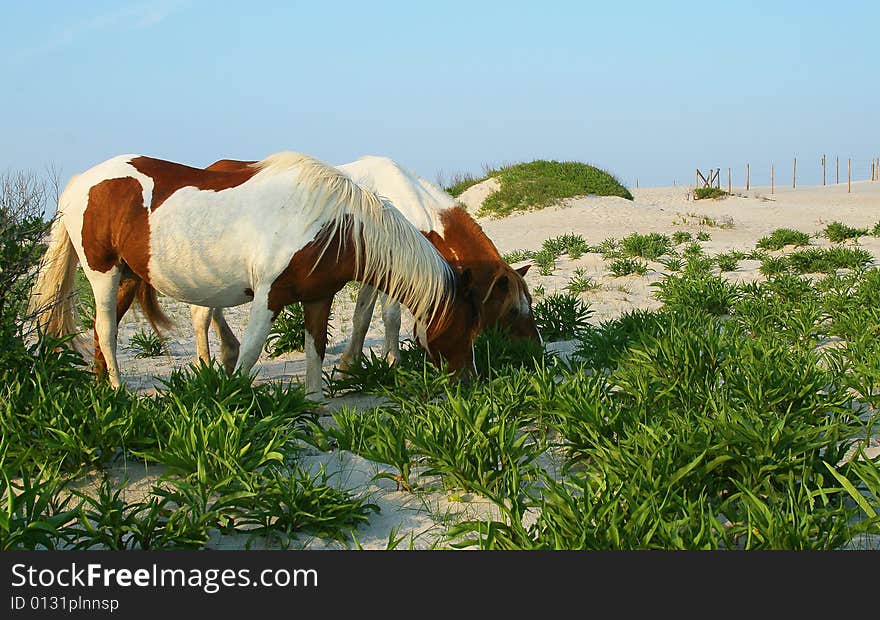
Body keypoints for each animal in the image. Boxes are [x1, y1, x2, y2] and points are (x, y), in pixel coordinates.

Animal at [29, 151, 482, 394]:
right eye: (466, 326)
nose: (470, 380)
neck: (333, 224)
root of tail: (80, 181)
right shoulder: (268, 296)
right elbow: (249, 353)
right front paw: (232, 401)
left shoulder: (318, 298)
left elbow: (315, 350)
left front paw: (314, 404)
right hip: (102, 273)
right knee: (106, 329)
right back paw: (120, 390)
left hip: (126, 276)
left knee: (102, 333)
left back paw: (102, 388)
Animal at [189, 155, 540, 378]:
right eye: (511, 310)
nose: (534, 352)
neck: (406, 200)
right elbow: (390, 317)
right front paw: (392, 361)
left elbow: (362, 316)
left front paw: (349, 365)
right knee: (200, 314)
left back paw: (228, 353)